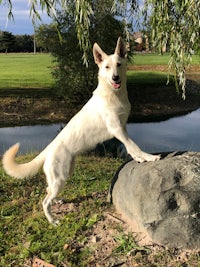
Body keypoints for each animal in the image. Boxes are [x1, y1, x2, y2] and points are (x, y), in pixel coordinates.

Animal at [2, 37, 160, 225]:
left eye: (119, 64)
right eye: (107, 67)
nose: (115, 77)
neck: (112, 94)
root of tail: (48, 149)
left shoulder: (123, 128)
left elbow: (130, 147)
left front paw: (139, 158)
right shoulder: (116, 128)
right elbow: (134, 145)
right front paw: (149, 157)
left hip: (63, 175)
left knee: (48, 191)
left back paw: (57, 201)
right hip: (60, 178)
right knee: (45, 201)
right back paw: (53, 221)